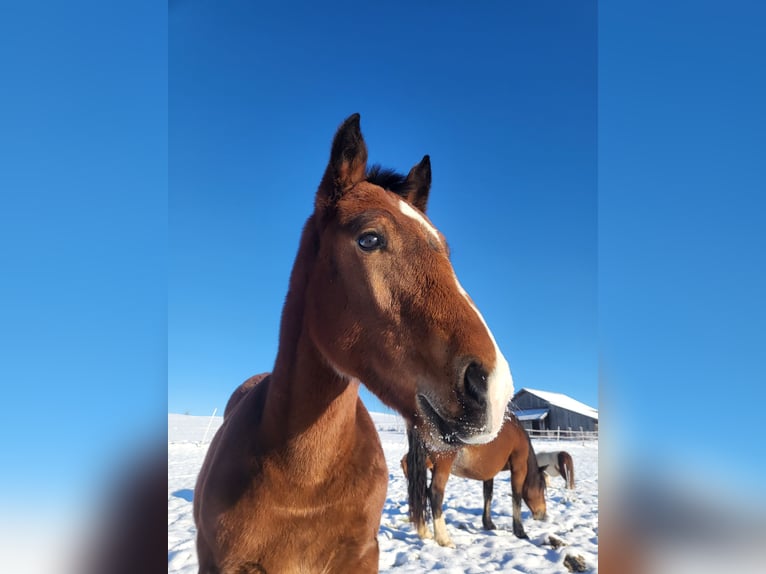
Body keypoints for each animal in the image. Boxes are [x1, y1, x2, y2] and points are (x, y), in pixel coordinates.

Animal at [404, 414, 547, 547]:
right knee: (434, 493)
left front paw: (488, 524)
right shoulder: (519, 467)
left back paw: (424, 531)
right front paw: (520, 531)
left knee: (418, 487)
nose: (543, 514)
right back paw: (443, 539)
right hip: (442, 465)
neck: (516, 431)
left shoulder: (489, 472)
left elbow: (488, 495)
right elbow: (516, 497)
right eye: (541, 488)